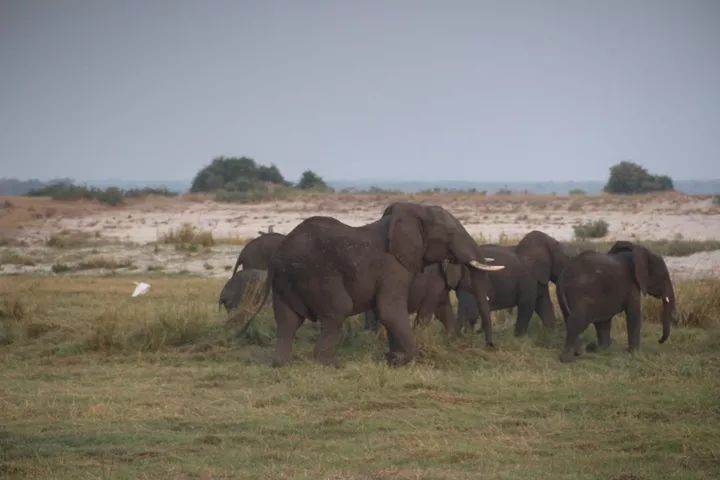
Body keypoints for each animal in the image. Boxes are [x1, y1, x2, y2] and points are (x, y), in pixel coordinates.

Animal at [250, 202, 504, 368]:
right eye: (451, 233)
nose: (490, 345)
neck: (411, 213)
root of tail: (278, 256)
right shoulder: (393, 267)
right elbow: (390, 311)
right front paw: (402, 360)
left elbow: (389, 314)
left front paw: (393, 357)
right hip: (317, 274)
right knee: (337, 310)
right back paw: (331, 364)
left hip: (286, 280)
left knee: (287, 320)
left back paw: (282, 365)